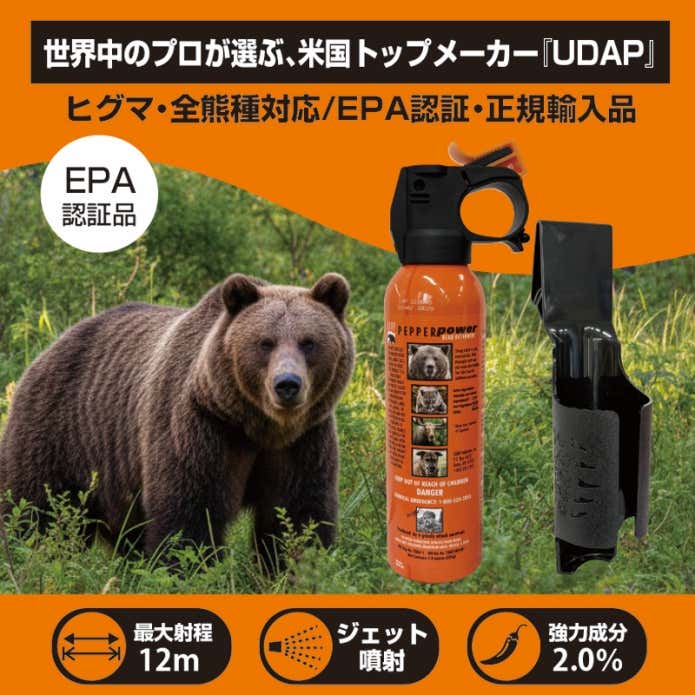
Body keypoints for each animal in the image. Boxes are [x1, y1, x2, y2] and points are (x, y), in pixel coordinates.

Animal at [0, 272, 354, 572]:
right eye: (265, 342)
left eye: (308, 342)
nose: (287, 385)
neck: (258, 426)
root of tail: (49, 347)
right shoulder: (200, 427)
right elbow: (190, 513)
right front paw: (191, 571)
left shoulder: (303, 442)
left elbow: (297, 515)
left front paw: (293, 571)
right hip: (60, 434)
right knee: (36, 514)